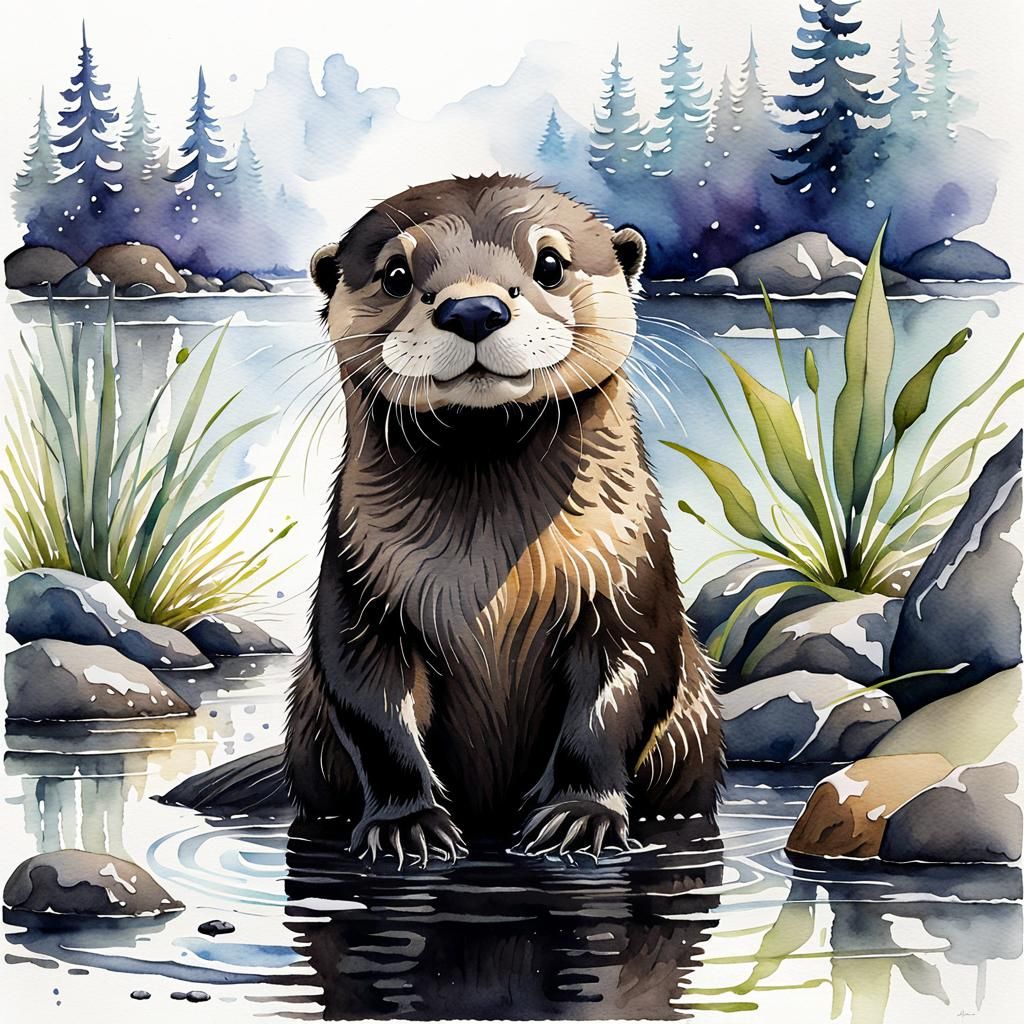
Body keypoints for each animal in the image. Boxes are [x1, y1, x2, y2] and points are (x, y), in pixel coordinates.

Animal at [285, 174, 721, 865]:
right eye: (396, 274)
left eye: (550, 264)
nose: (472, 310)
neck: (491, 567)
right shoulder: (358, 583)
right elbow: (369, 705)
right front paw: (407, 822)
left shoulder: (632, 578)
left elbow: (620, 693)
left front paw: (579, 815)